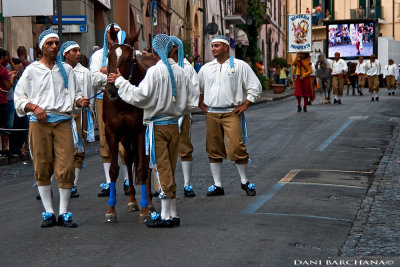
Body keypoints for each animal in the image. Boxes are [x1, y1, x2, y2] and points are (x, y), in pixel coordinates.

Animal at [102, 25, 157, 223]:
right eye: (109, 56)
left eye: (127, 59)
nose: (111, 88)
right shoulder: (112, 132)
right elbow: (113, 170)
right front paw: (111, 210)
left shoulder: (141, 131)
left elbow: (142, 169)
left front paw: (145, 210)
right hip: (126, 137)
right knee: (129, 158)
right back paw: (133, 199)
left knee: (146, 163)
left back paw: (149, 202)